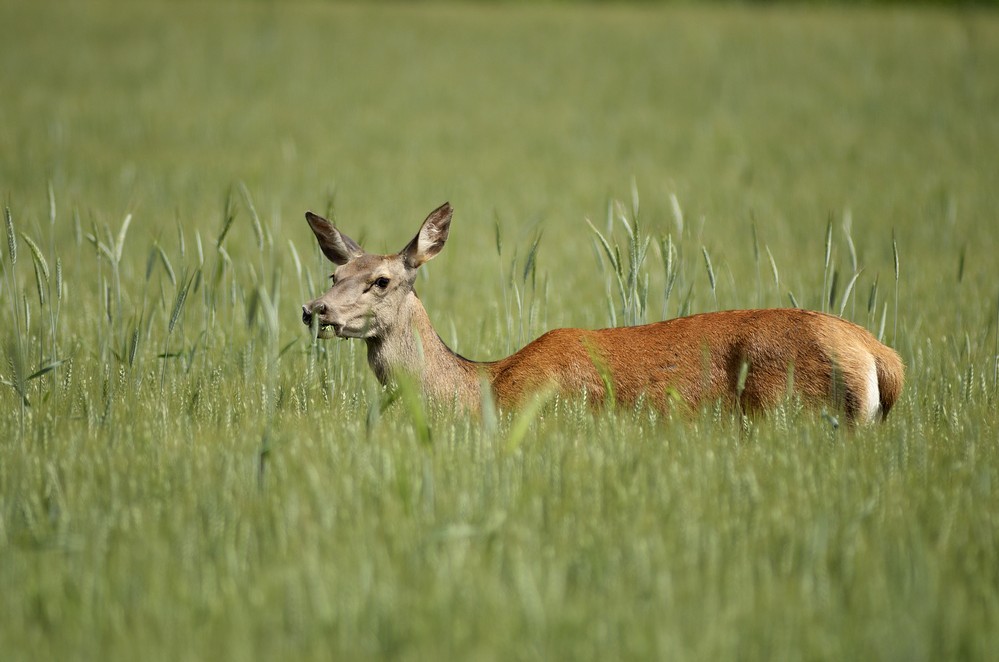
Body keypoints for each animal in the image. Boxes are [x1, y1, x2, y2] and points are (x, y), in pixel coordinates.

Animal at [300, 200, 904, 426]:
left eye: (381, 281)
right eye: (334, 274)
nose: (314, 309)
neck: (480, 390)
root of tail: (882, 357)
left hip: (795, 412)